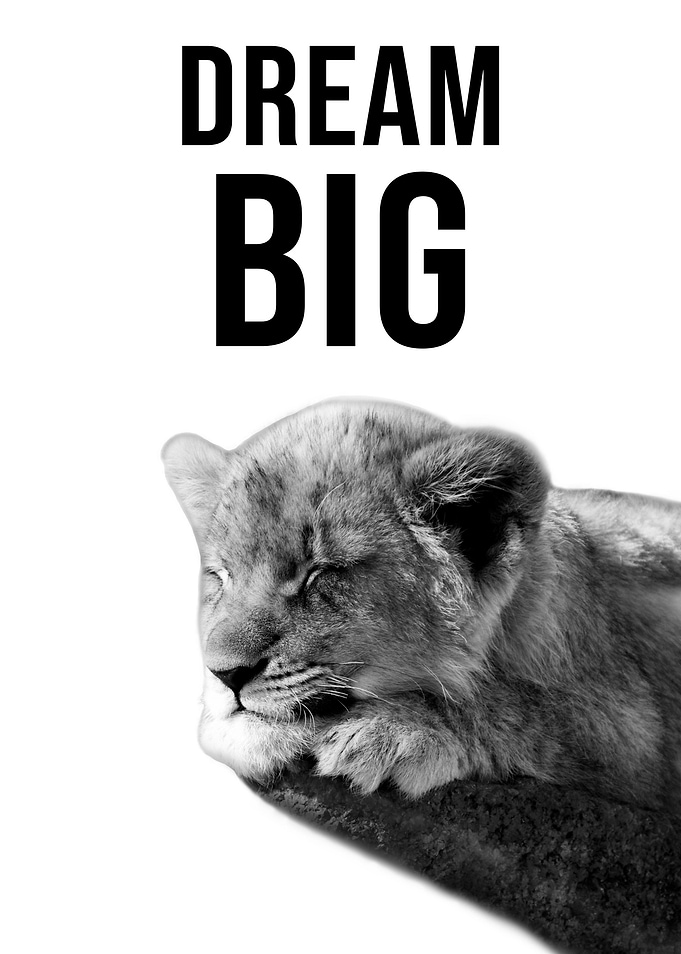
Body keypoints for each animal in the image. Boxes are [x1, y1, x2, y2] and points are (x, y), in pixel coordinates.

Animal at [162, 400, 681, 813]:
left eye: (321, 572)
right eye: (221, 577)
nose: (223, 674)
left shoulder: (636, 733)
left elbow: (515, 708)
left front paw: (397, 729)